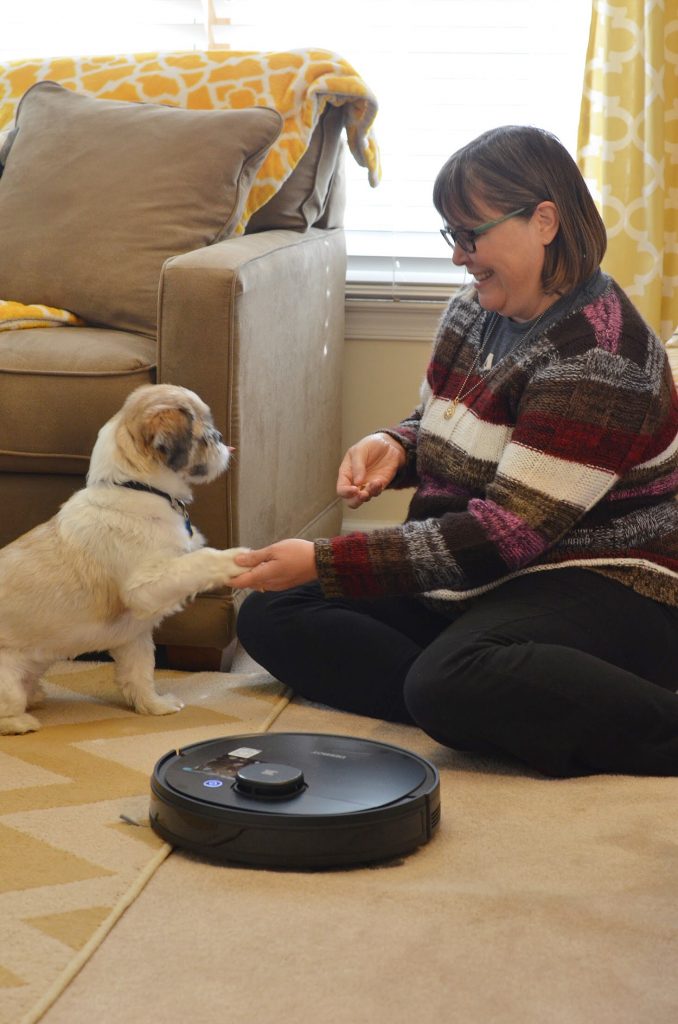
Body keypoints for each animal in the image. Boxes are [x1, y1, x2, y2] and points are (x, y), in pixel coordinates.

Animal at [0, 385, 249, 737]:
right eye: (203, 436)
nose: (221, 436)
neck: (140, 489)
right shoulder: (147, 586)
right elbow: (198, 562)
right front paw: (236, 559)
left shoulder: (134, 637)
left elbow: (140, 673)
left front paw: (154, 706)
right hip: (6, 680)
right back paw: (21, 722)